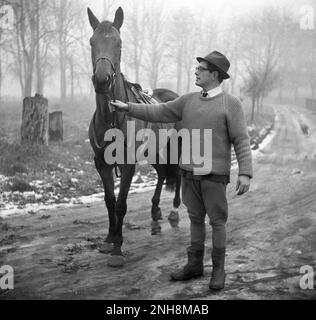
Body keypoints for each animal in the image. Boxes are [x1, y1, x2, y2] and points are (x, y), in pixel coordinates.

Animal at [87, 7, 181, 268]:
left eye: (119, 43)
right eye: (92, 42)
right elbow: (109, 200)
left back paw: (174, 211)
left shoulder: (128, 163)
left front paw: (118, 248)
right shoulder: (101, 163)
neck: (111, 118)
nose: (102, 80)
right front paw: (109, 239)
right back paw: (156, 211)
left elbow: (121, 204)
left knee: (179, 174)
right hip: (155, 151)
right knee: (162, 173)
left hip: (176, 147)